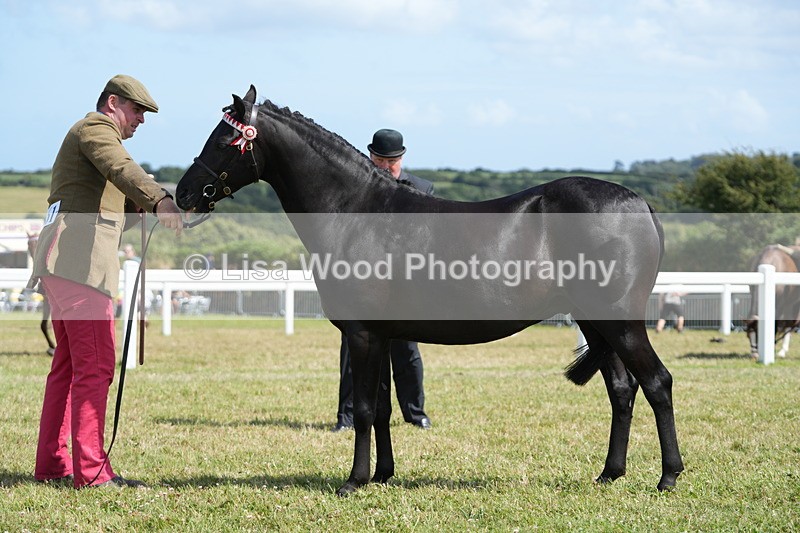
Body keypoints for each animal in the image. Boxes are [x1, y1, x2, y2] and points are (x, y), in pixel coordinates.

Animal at [175, 86, 683, 495]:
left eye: (225, 140)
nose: (182, 194)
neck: (357, 212)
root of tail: (639, 203)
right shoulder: (381, 335)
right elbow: (381, 408)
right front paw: (383, 475)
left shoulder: (362, 334)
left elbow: (364, 408)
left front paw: (353, 481)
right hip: (596, 324)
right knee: (622, 389)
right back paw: (609, 473)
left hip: (620, 323)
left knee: (657, 382)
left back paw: (668, 477)